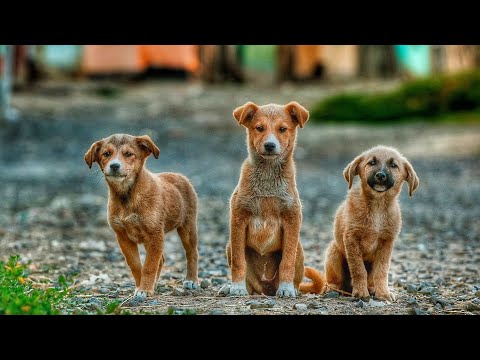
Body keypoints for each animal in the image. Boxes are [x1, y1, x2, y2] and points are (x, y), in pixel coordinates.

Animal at [84, 134, 199, 300]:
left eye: (128, 154)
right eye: (106, 154)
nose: (114, 166)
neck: (127, 196)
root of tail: (179, 175)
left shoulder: (155, 234)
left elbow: (149, 266)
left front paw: (144, 289)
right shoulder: (123, 236)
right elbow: (136, 265)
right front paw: (141, 287)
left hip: (187, 227)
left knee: (192, 253)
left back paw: (191, 280)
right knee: (161, 259)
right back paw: (155, 284)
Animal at [324, 145, 418, 300]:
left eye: (393, 165)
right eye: (371, 163)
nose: (380, 175)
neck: (377, 207)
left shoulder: (387, 242)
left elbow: (382, 271)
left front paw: (383, 293)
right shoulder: (351, 238)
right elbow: (358, 269)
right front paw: (361, 292)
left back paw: (372, 289)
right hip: (334, 252)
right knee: (333, 280)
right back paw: (332, 289)